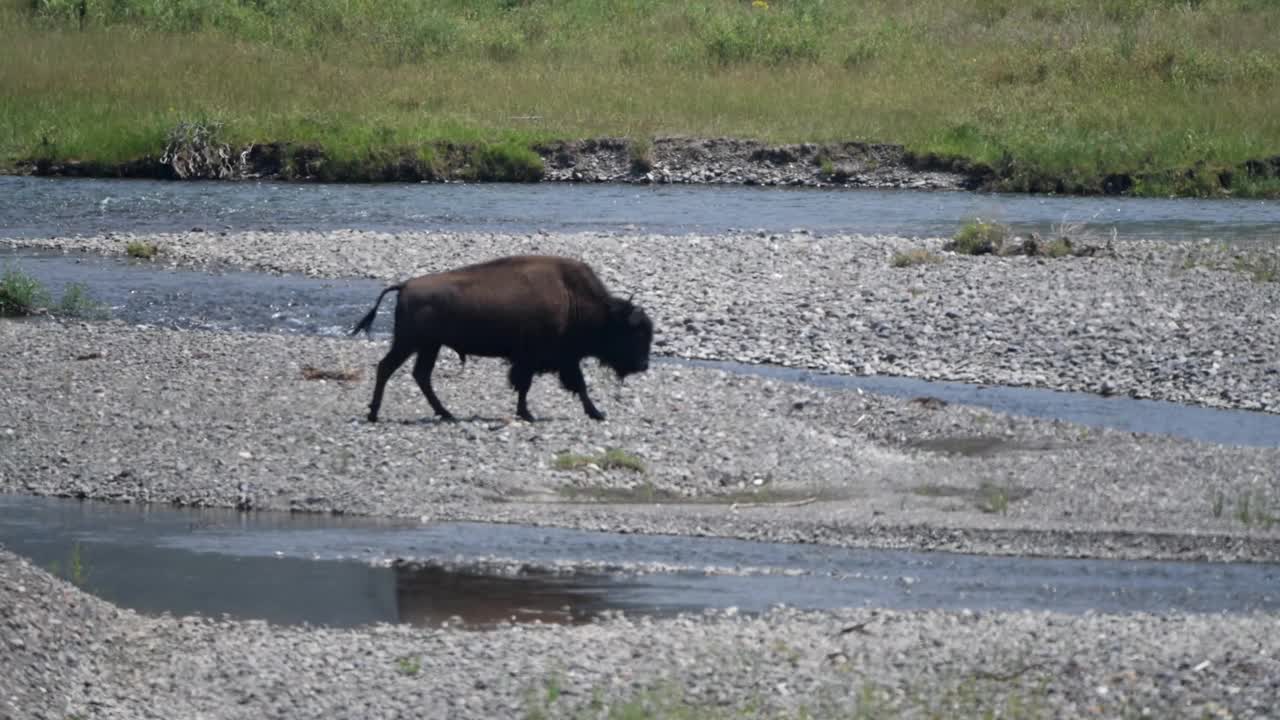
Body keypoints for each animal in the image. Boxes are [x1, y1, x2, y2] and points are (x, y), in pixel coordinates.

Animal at [348, 252, 650, 420]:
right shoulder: (540, 359)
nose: (644, 365)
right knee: (387, 368)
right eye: (634, 334)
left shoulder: (558, 359)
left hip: (429, 346)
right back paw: (374, 413)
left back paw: (446, 414)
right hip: (409, 342)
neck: (571, 297)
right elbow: (545, 384)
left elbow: (566, 385)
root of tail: (405, 286)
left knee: (420, 375)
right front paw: (593, 413)